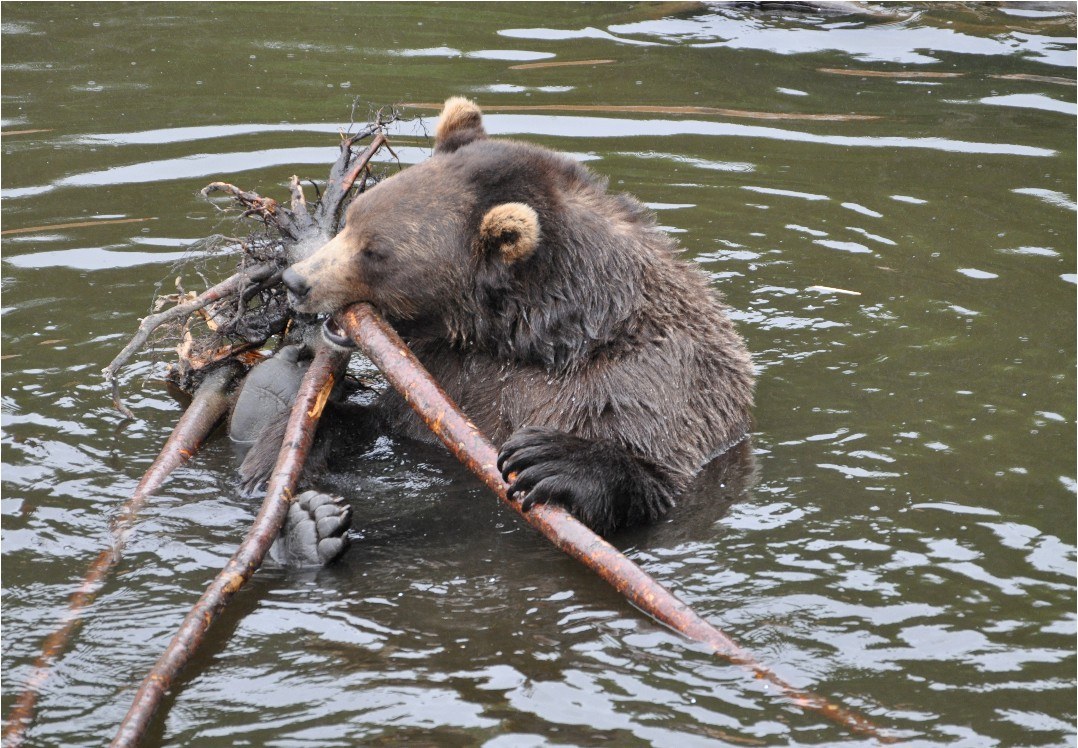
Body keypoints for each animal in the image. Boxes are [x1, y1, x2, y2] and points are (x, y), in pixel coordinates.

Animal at [271, 96, 755, 541]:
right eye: (352, 220)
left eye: (375, 252)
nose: (297, 280)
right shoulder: (448, 378)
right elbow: (371, 423)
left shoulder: (654, 379)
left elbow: (653, 468)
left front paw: (547, 459)